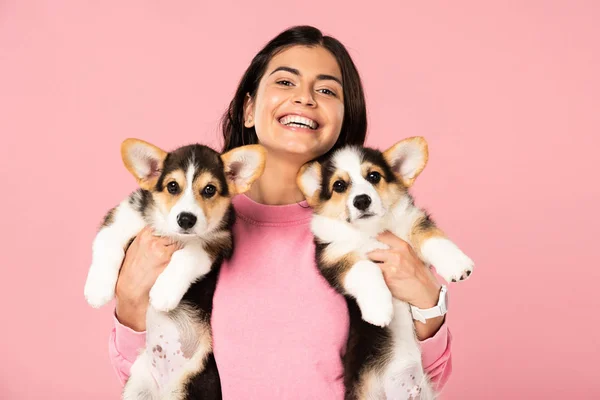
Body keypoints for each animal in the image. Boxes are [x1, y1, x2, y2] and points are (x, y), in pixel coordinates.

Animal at [83, 139, 266, 398]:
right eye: (172, 186)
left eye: (209, 189)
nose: (186, 219)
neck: (171, 231)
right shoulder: (121, 216)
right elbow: (108, 244)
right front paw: (97, 291)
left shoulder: (215, 243)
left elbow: (187, 255)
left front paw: (163, 293)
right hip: (137, 387)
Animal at [298, 136, 476, 398]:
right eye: (339, 185)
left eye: (374, 176)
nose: (362, 200)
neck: (372, 230)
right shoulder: (334, 257)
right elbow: (365, 269)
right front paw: (379, 310)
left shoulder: (413, 221)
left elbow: (432, 238)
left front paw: (457, 263)